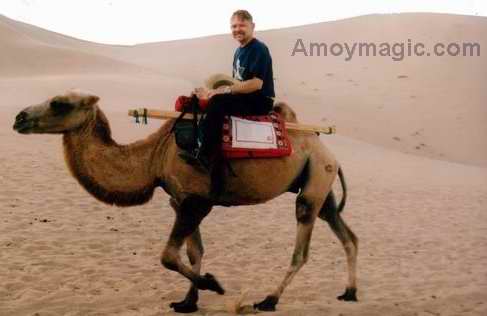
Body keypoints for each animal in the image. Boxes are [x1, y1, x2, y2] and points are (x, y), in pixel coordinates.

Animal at [12, 88, 358, 314]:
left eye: (58, 103)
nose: (19, 117)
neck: (153, 158)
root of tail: (330, 152)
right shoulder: (180, 201)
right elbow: (193, 251)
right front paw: (188, 302)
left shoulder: (197, 201)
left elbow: (167, 255)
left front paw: (213, 284)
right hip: (320, 184)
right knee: (347, 235)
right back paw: (350, 293)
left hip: (314, 182)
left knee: (302, 245)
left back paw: (269, 300)